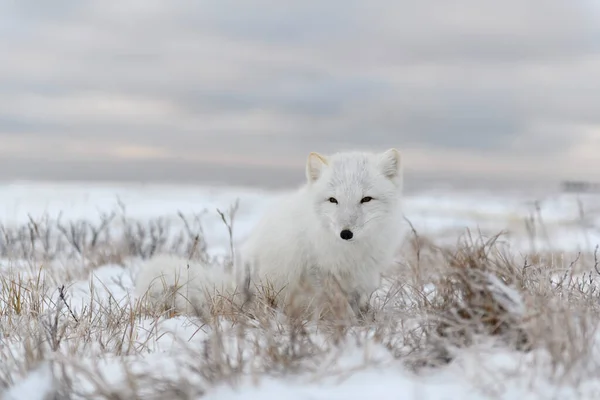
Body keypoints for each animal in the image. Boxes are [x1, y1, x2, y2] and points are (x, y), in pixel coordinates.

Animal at [134, 148, 400, 318]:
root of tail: (233, 288)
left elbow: (355, 304)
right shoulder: (318, 274)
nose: (346, 233)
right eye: (333, 200)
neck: (350, 253)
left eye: (366, 199)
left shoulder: (361, 279)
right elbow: (335, 306)